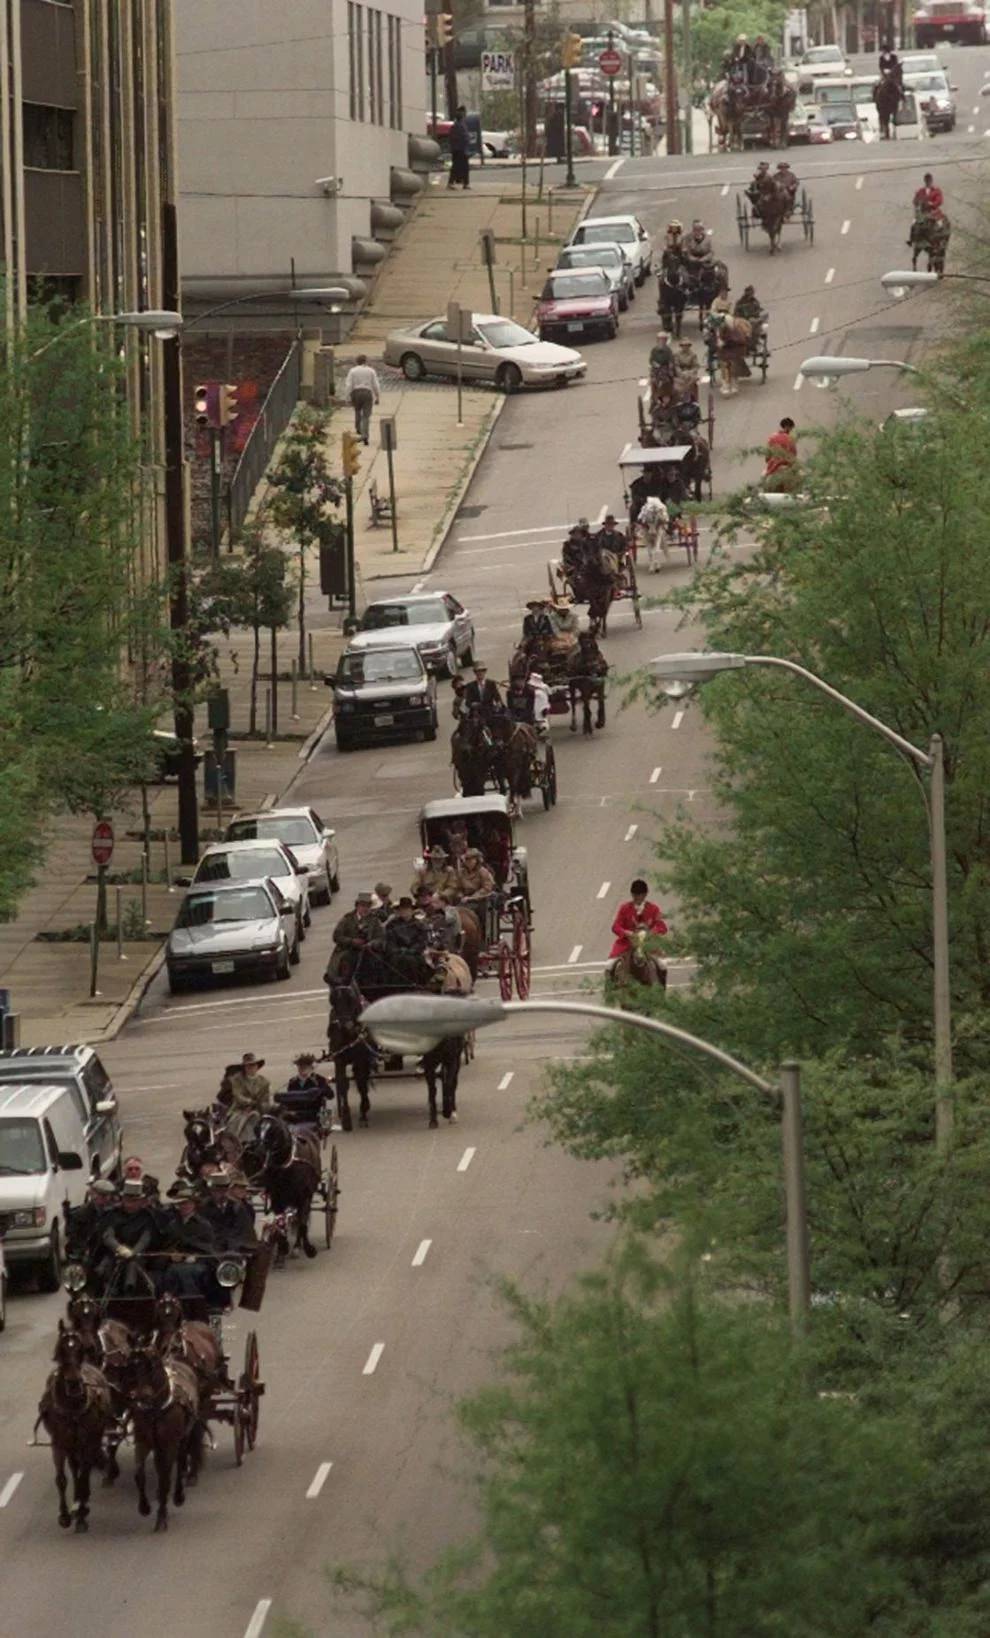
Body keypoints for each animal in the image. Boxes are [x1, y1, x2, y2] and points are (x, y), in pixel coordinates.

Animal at [39, 1323, 113, 1526]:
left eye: (80, 1349)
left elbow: (84, 1475)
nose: (73, 1383)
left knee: (81, 1470)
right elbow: (61, 1478)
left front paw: (82, 1510)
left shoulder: (89, 1441)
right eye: (61, 1349)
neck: (71, 1407)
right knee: (74, 1467)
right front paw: (64, 1514)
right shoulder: (58, 1443)